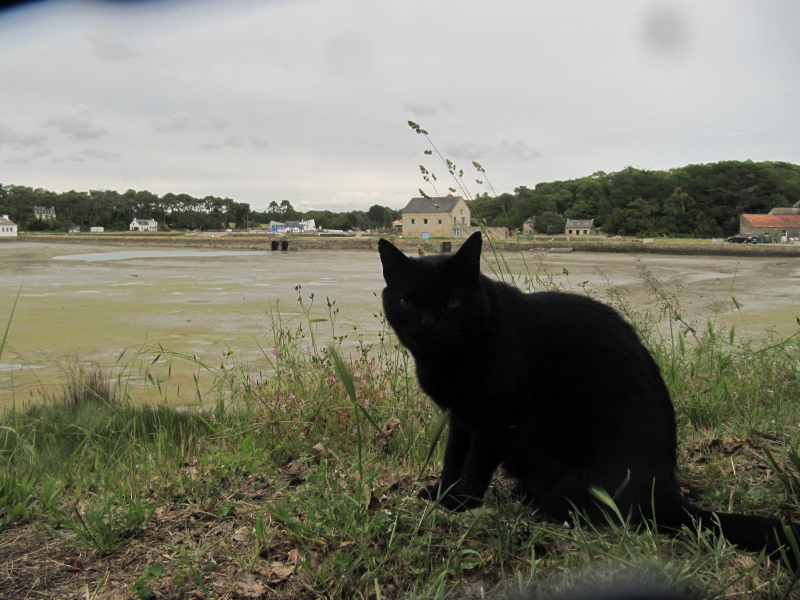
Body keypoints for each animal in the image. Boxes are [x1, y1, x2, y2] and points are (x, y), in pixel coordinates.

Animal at [378, 233, 796, 564]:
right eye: (406, 303)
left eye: (453, 303)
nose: (427, 324)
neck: (448, 358)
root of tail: (664, 493)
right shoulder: (461, 418)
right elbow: (452, 459)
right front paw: (442, 495)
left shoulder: (494, 420)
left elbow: (474, 466)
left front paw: (461, 504)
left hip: (538, 437)